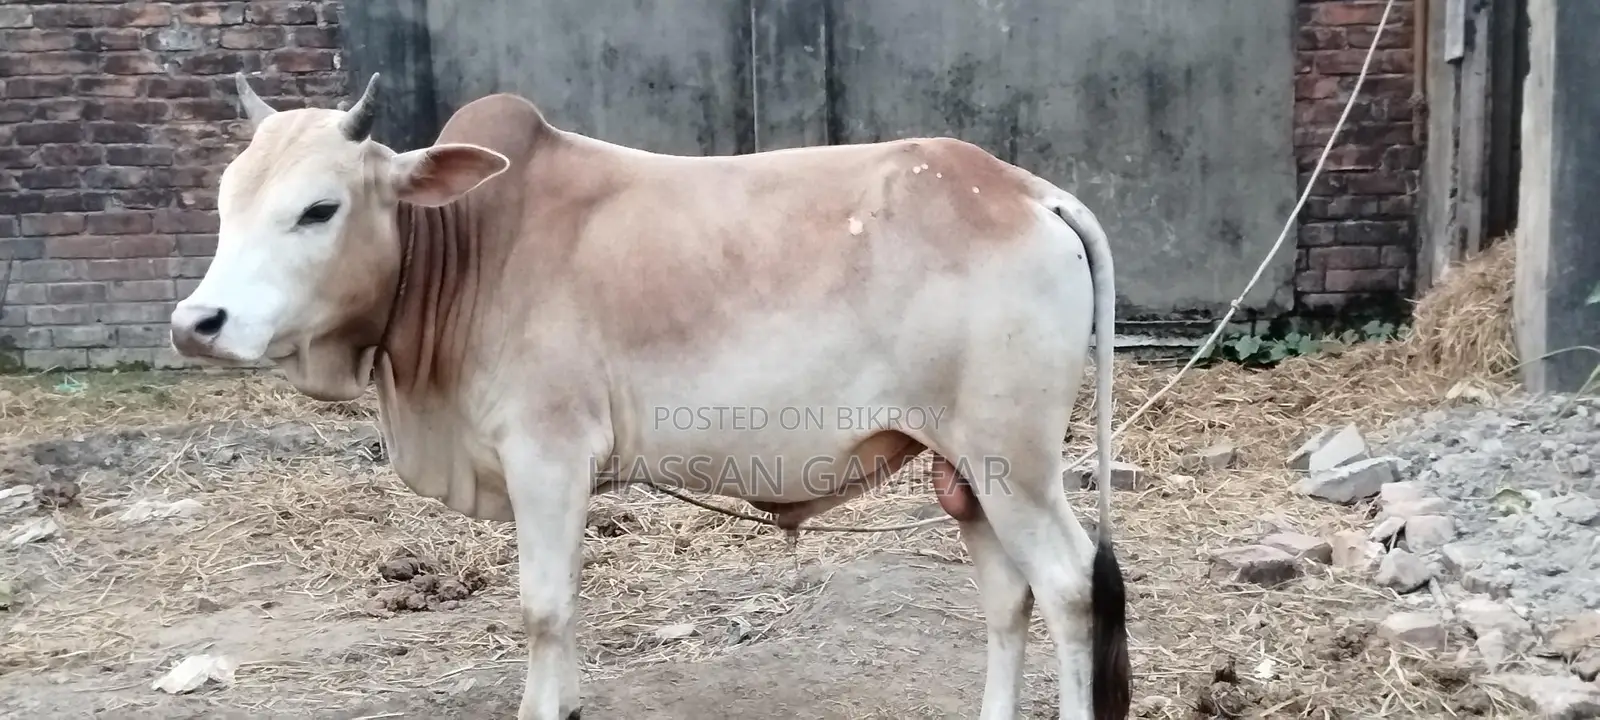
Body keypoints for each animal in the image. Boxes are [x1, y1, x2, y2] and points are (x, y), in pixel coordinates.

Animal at [169, 72, 1131, 720]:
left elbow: (542, 608)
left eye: (319, 209)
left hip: (1015, 465)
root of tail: (1026, 190)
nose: (197, 322)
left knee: (1068, 588)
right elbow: (564, 608)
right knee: (1008, 597)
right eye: (223, 202)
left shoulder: (547, 457)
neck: (470, 247)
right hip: (963, 470)